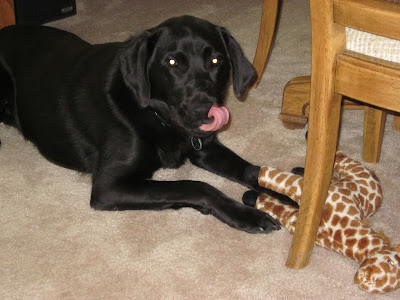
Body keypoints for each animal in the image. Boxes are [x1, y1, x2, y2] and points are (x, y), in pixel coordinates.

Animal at [0, 15, 282, 233]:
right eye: (172, 62)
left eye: (216, 61)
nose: (205, 112)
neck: (159, 117)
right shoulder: (110, 187)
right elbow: (197, 186)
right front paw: (248, 215)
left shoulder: (206, 148)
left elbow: (252, 171)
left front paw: (287, 197)